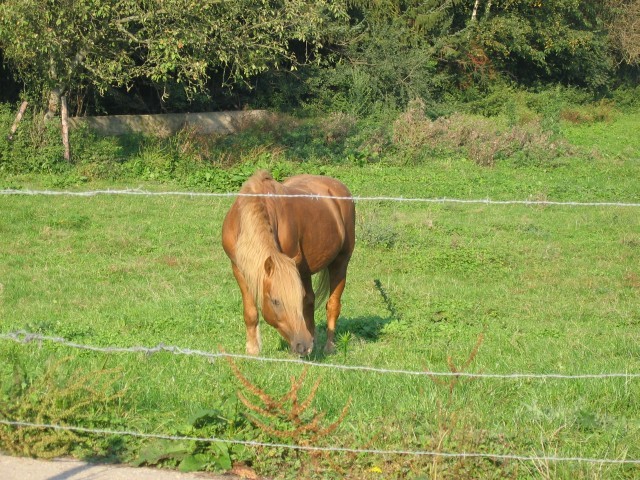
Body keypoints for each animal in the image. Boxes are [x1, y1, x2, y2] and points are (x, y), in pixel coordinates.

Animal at [221, 171, 356, 354]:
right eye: (275, 301)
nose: (303, 345)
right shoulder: (239, 269)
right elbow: (250, 312)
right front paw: (253, 350)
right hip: (305, 270)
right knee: (311, 301)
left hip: (341, 261)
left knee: (333, 305)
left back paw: (328, 346)